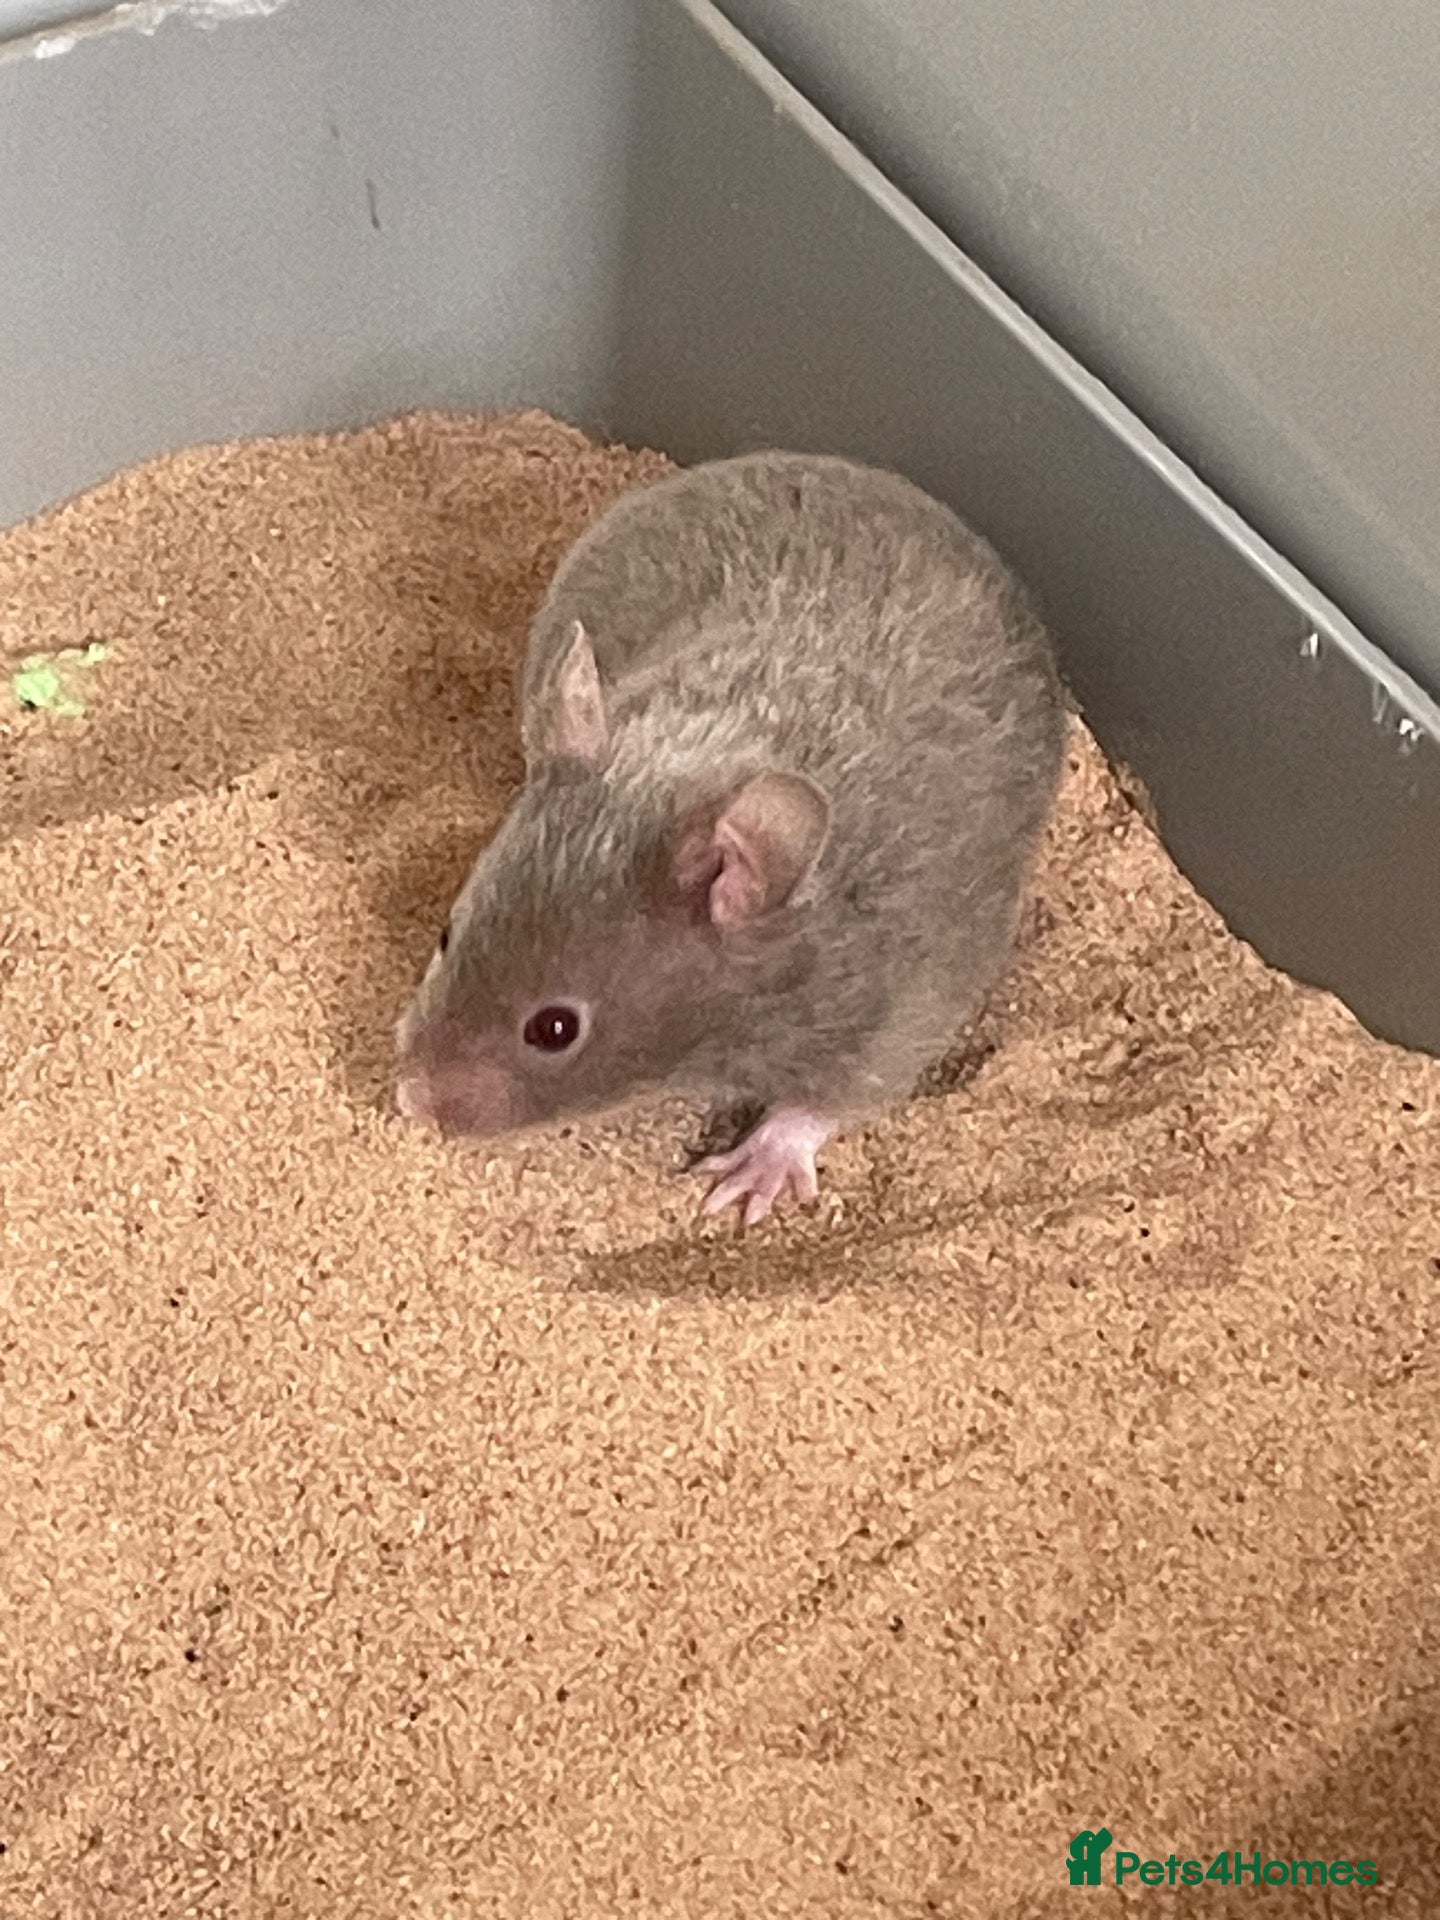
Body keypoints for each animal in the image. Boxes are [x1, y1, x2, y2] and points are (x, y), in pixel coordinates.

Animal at [395, 451, 1066, 1224]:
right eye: (445, 935)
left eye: (554, 1029)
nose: (411, 1103)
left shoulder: (900, 1014)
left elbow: (824, 1101)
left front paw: (745, 1181)